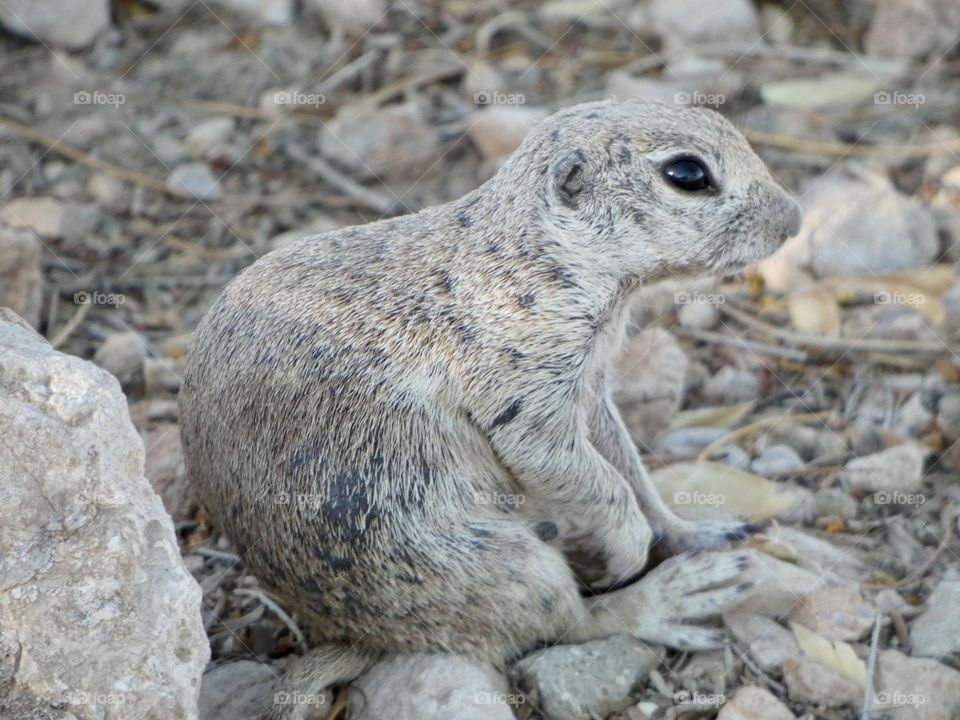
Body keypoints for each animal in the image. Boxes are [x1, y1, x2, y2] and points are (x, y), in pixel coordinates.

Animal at [180, 98, 804, 716]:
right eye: (687, 174)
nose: (795, 219)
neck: (542, 255)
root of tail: (359, 637)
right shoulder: (525, 388)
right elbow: (590, 478)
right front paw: (630, 546)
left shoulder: (592, 388)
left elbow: (629, 468)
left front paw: (682, 529)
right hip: (498, 565)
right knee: (568, 623)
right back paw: (668, 598)